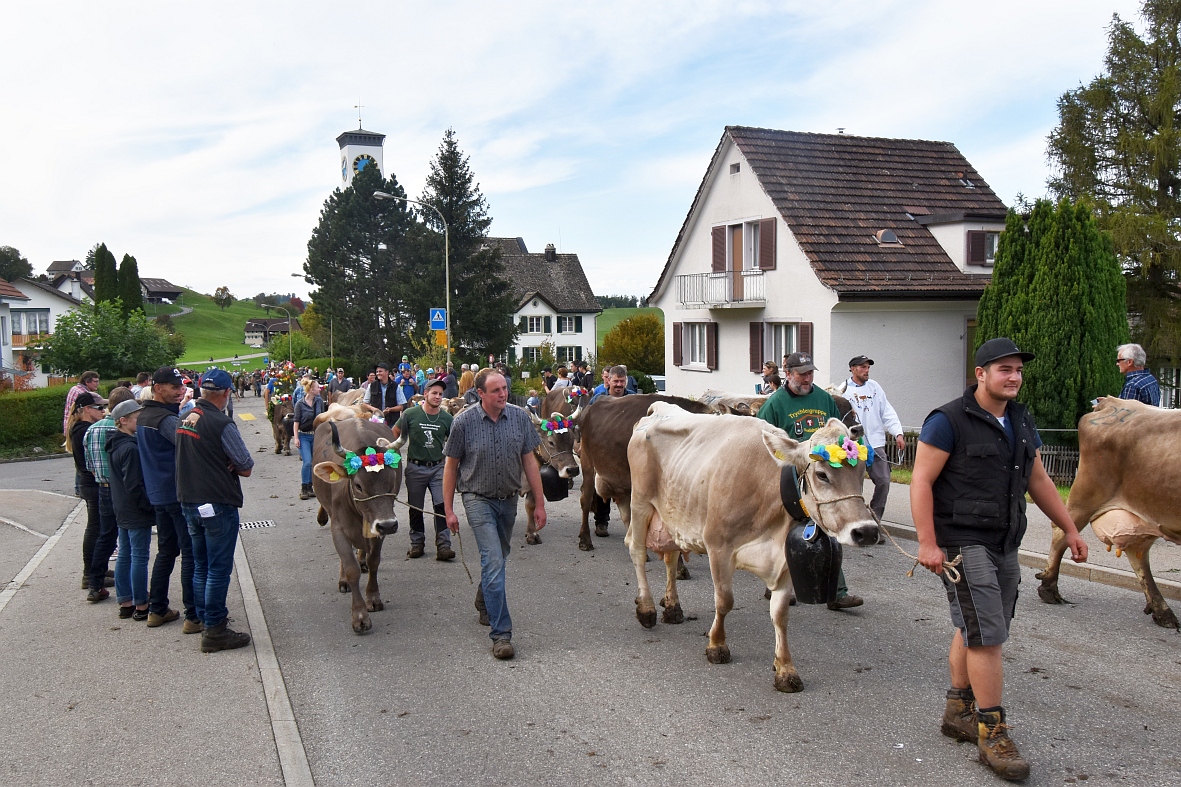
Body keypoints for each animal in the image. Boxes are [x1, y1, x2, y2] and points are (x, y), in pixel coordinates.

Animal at [311, 415, 403, 633]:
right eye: (359, 485)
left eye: (392, 481)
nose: (389, 525)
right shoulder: (338, 528)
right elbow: (351, 567)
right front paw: (360, 616)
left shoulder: (378, 528)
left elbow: (374, 561)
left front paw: (373, 598)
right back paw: (343, 579)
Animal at [628, 401, 878, 690]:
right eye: (822, 475)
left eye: (862, 472)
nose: (867, 531)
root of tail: (660, 407)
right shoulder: (718, 546)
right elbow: (724, 601)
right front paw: (717, 645)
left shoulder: (784, 561)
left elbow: (780, 615)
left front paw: (785, 668)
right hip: (641, 502)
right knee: (637, 551)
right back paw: (646, 608)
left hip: (672, 516)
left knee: (670, 557)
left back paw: (672, 607)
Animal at [1039, 394, 1181, 628]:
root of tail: (1111, 402)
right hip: (1088, 494)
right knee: (1062, 531)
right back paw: (1049, 589)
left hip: (1143, 514)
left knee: (1137, 554)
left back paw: (1162, 611)